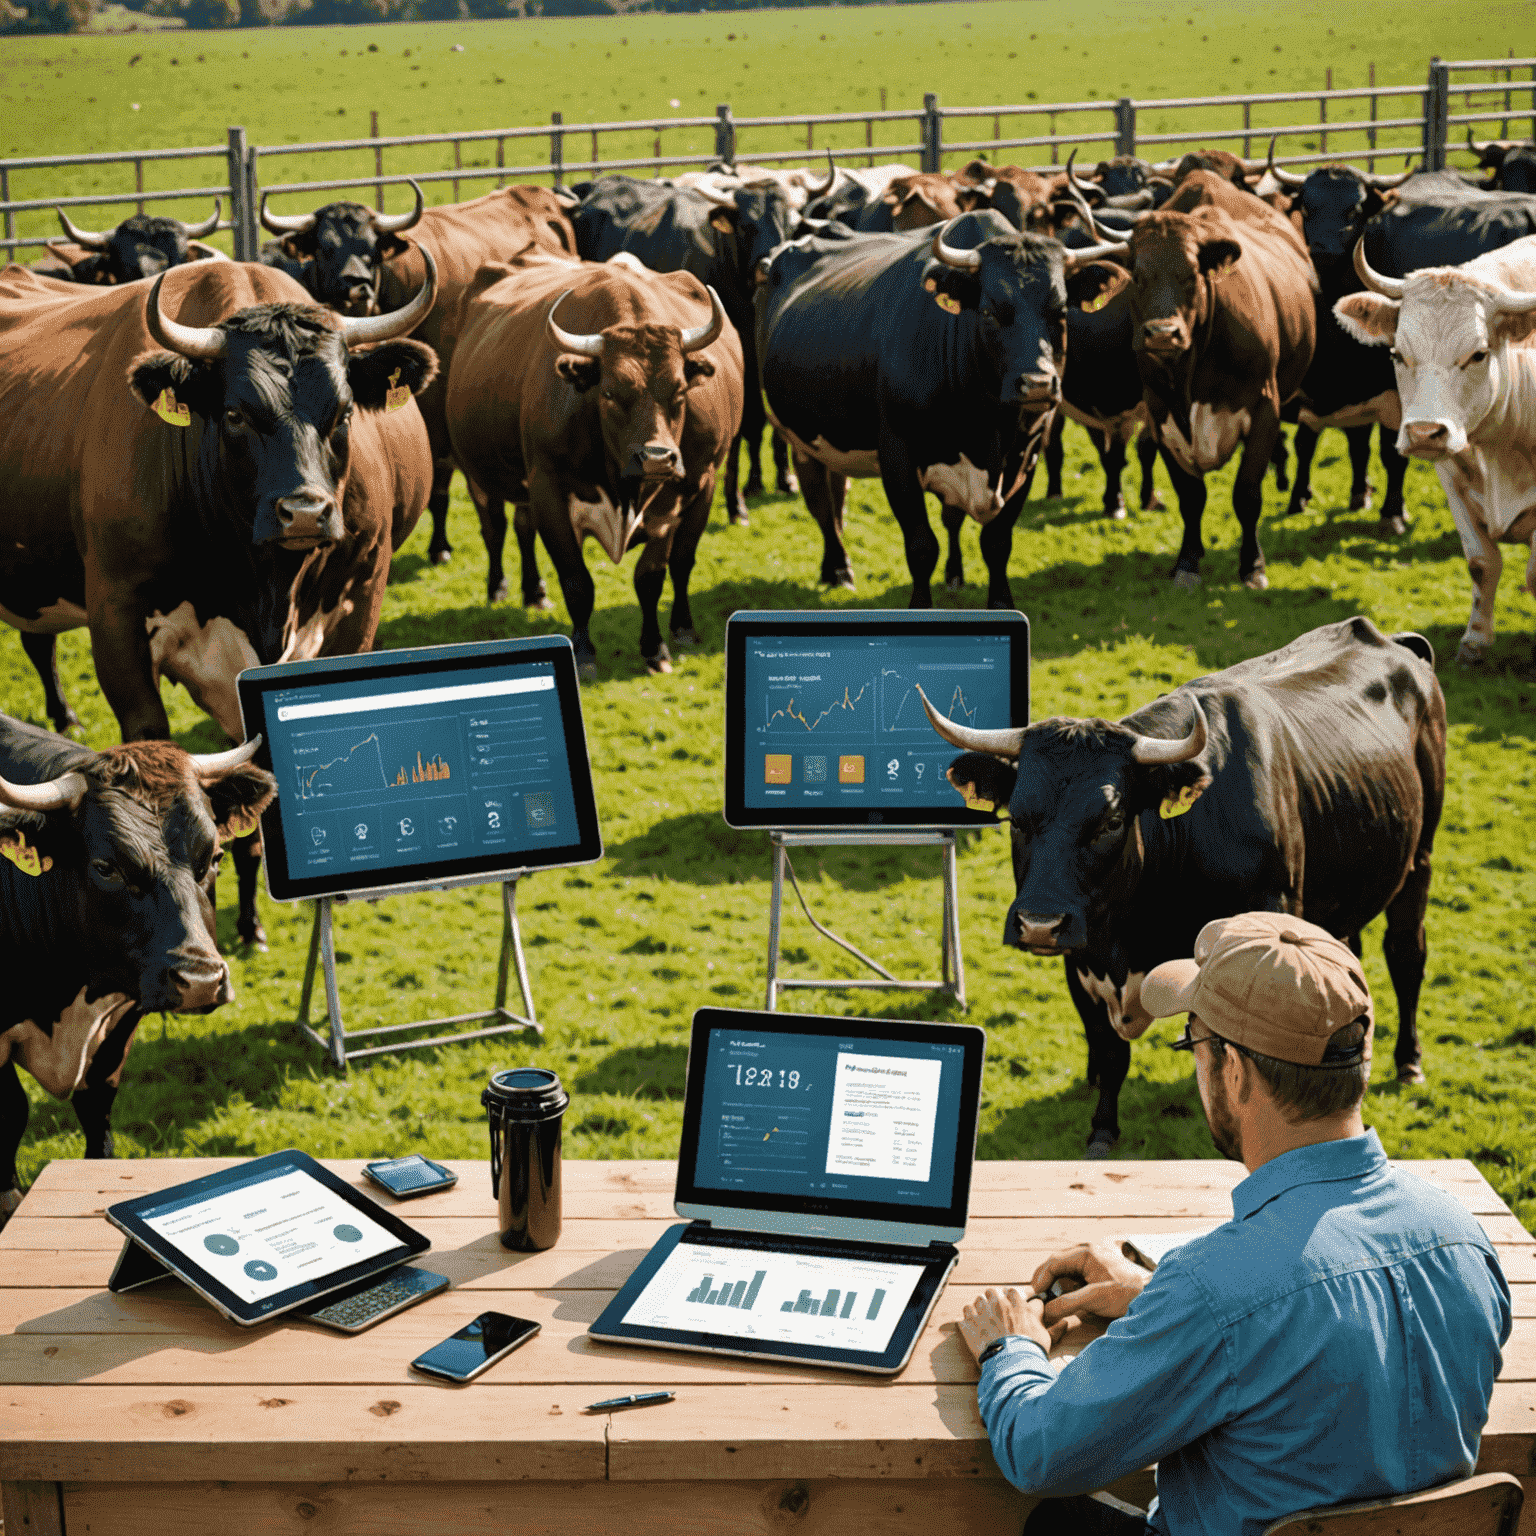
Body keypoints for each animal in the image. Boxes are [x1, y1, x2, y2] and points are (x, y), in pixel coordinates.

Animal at [0, 715, 274, 1222]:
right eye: (106, 867)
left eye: (214, 857)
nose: (201, 981)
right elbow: (12, 1112)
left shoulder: (123, 1014)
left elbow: (98, 1101)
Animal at [445, 251, 743, 672]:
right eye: (610, 393)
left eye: (680, 390)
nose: (657, 458)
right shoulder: (548, 489)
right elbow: (576, 580)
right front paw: (584, 652)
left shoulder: (680, 494)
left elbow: (654, 574)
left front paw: (657, 647)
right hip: (479, 476)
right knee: (496, 528)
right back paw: (499, 587)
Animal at [921, 611, 1437, 1155]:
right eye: (1017, 819)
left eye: (1112, 820)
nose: (1039, 923)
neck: (1131, 938)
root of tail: (1387, 636)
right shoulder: (1082, 952)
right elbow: (1108, 1048)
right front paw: (1102, 1128)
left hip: (1419, 859)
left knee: (1407, 952)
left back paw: (1408, 1060)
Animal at [1112, 169, 1314, 586]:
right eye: (1137, 276)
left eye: (1191, 275)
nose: (1162, 333)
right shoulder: (1161, 415)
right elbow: (1191, 498)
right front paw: (1188, 562)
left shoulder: (1264, 408)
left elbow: (1247, 494)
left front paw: (1252, 566)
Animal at [1333, 233, 1536, 660]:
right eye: (1397, 353)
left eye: (1478, 354)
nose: (1425, 432)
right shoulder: (1452, 478)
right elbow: (1481, 562)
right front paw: (1475, 641)